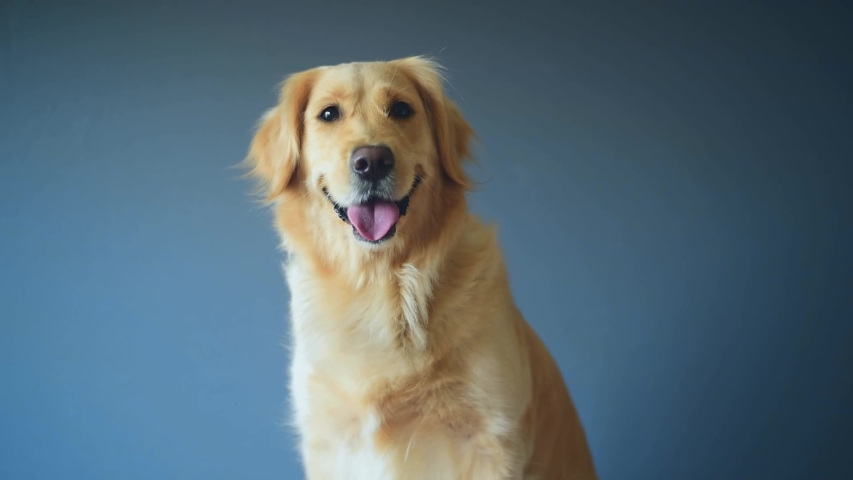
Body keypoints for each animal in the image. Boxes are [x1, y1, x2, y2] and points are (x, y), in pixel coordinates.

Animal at [243, 54, 596, 478]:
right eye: (328, 114)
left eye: (401, 109)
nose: (372, 161)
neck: (382, 284)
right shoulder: (330, 439)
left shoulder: (490, 438)